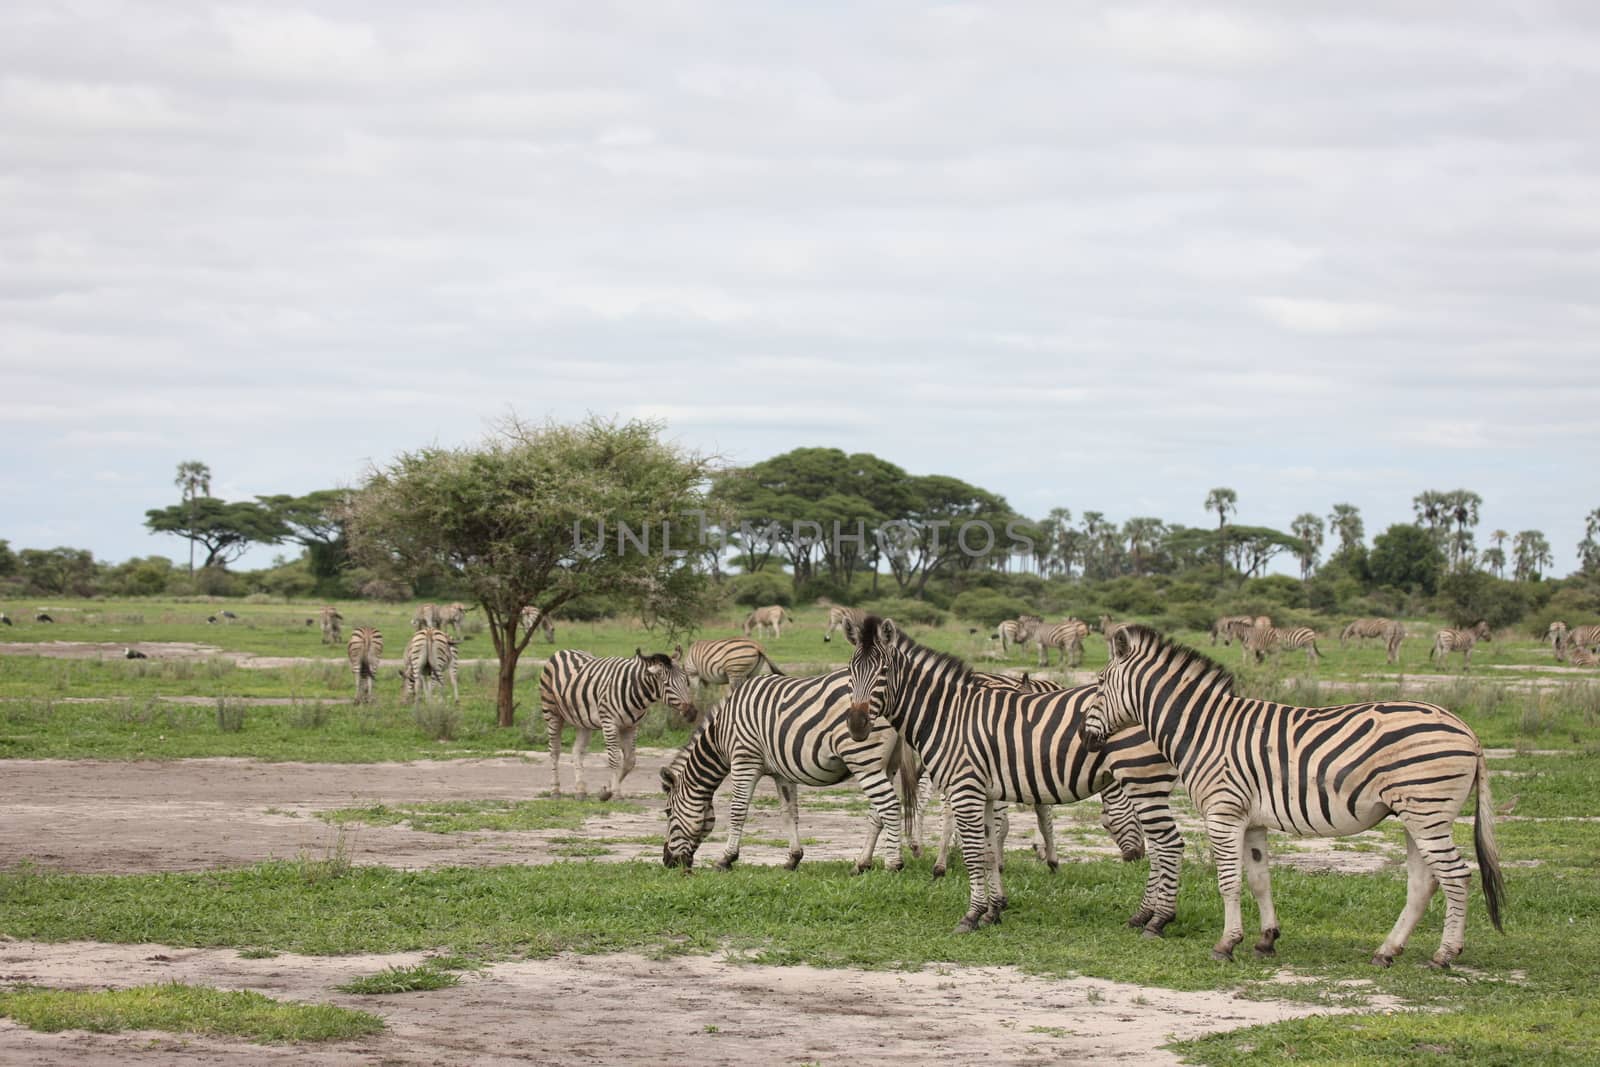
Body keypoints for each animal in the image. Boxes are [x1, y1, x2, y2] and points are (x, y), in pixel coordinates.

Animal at [540, 646, 697, 796]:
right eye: (666, 683)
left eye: (687, 681)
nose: (692, 713)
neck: (634, 689)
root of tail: (562, 651)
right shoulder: (609, 723)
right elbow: (615, 759)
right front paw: (615, 793)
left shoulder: (631, 726)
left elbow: (630, 761)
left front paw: (606, 790)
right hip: (552, 713)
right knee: (554, 751)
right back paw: (555, 790)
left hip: (583, 722)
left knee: (577, 751)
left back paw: (580, 790)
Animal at [659, 671, 908, 870]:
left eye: (668, 812)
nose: (667, 861)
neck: (722, 734)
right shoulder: (782, 773)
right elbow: (789, 813)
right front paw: (793, 858)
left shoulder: (744, 760)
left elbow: (738, 810)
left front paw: (726, 858)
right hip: (888, 765)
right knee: (878, 813)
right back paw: (862, 863)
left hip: (864, 760)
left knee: (889, 806)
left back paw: (893, 865)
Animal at [844, 617, 1184, 934]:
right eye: (850, 671)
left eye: (884, 671)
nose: (857, 725)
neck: (948, 715)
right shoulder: (986, 793)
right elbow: (990, 850)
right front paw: (993, 911)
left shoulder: (966, 789)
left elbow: (973, 852)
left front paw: (971, 915)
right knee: (1161, 847)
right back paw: (1144, 916)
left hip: (1142, 778)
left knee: (1168, 845)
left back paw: (1157, 920)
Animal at [1081, 627, 1504, 966]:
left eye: (1100, 683)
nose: (1085, 738)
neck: (1202, 729)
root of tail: (1467, 729)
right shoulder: (1251, 820)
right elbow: (1259, 880)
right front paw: (1265, 940)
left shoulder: (1222, 813)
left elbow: (1228, 881)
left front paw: (1225, 944)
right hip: (1415, 815)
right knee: (1423, 883)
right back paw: (1387, 951)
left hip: (1427, 813)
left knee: (1457, 876)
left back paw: (1444, 954)